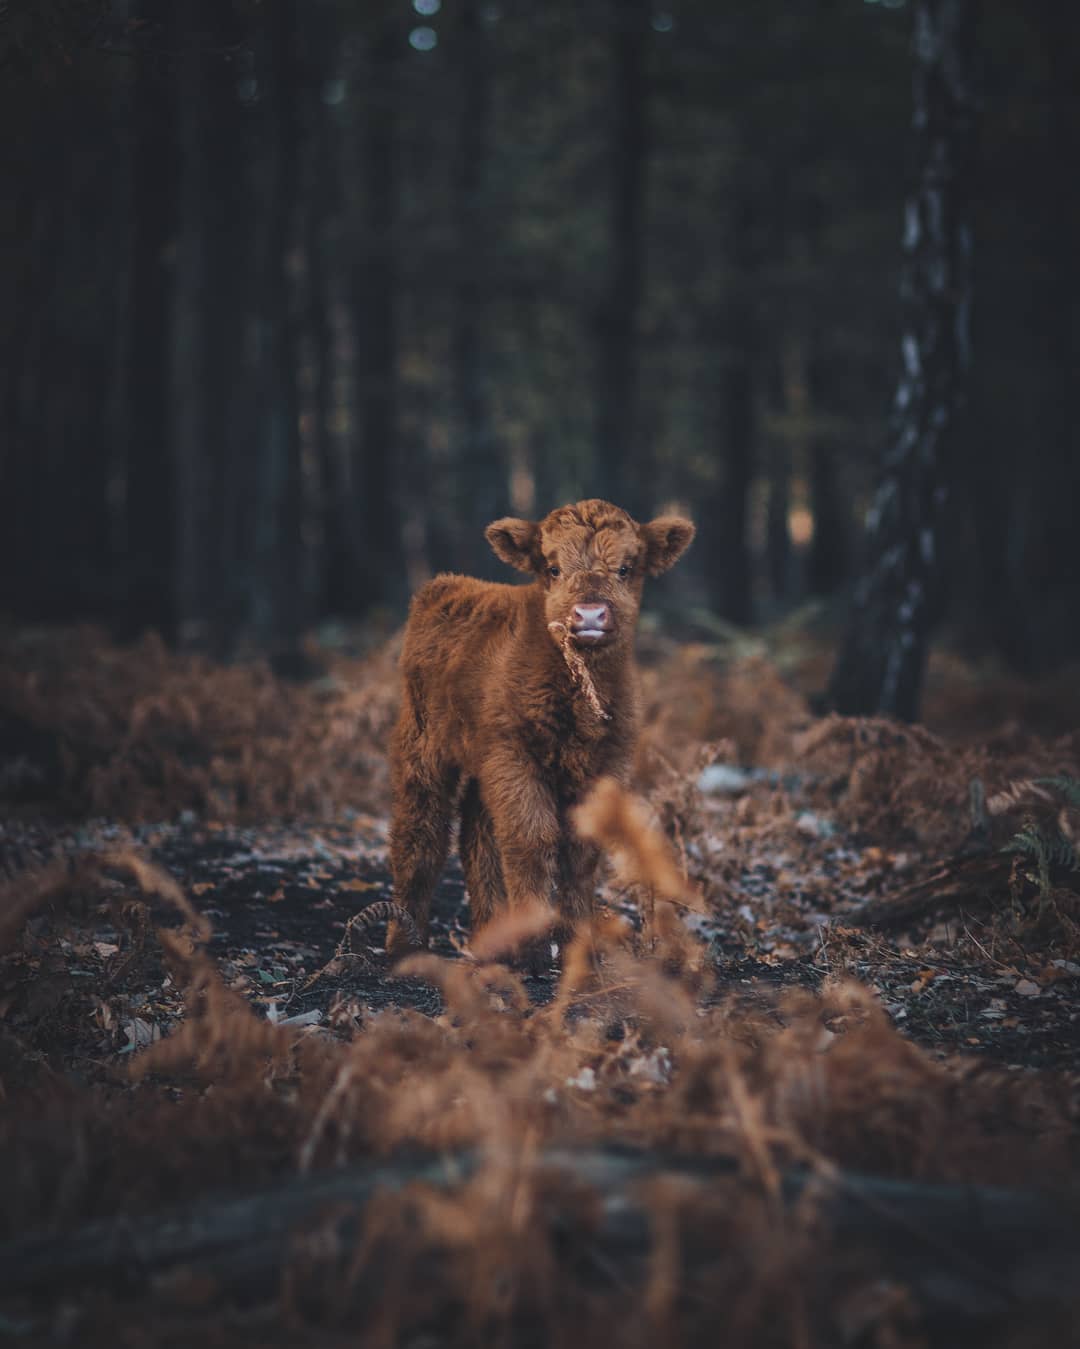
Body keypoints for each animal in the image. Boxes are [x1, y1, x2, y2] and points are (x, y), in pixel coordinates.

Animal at [385, 499, 690, 960]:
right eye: (553, 568)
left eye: (625, 568)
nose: (589, 614)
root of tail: (444, 586)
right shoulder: (514, 759)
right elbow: (532, 840)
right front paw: (532, 948)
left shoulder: (606, 765)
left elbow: (580, 848)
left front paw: (579, 948)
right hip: (424, 747)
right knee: (421, 830)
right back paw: (404, 944)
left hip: (481, 765)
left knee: (476, 834)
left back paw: (491, 937)